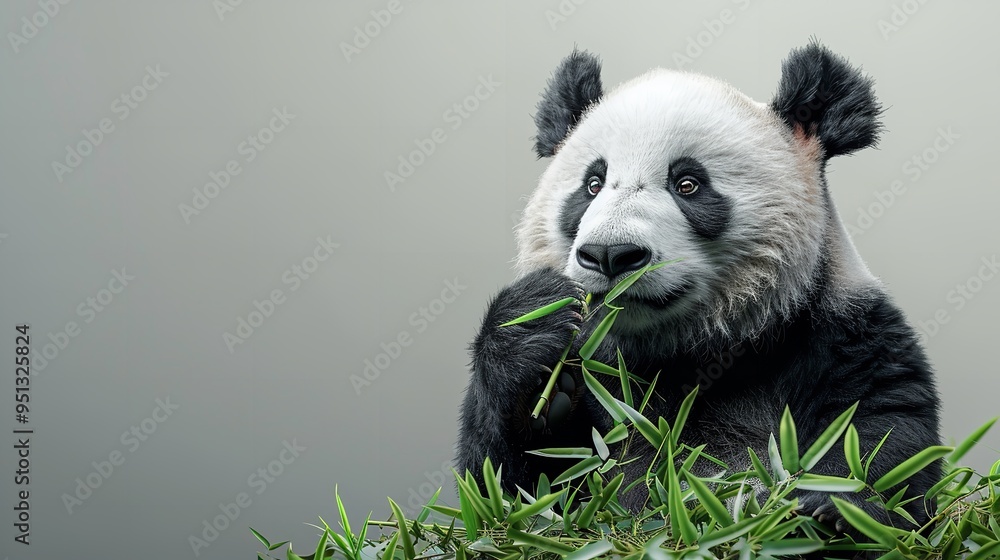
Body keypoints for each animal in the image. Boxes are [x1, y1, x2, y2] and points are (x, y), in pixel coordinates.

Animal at [456, 42, 940, 530]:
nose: (611, 254)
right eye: (592, 184)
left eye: (688, 183)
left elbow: (885, 445)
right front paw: (536, 354)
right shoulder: (597, 382)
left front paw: (829, 510)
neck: (687, 351)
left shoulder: (843, 336)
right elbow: (506, 496)